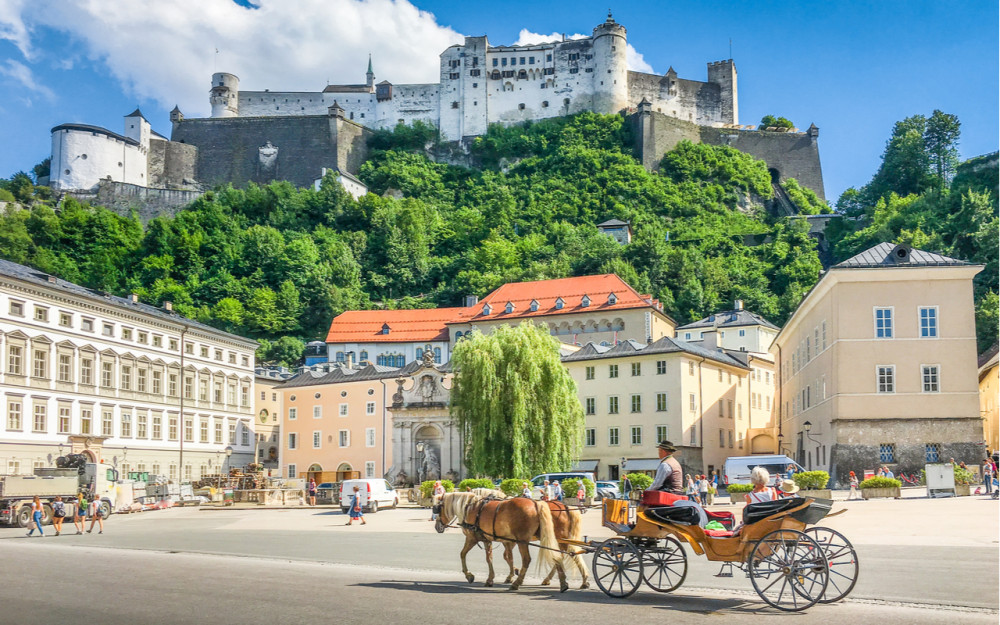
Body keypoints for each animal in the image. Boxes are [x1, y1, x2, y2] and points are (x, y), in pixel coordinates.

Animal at [434, 492, 568, 588]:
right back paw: (562, 583)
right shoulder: (488, 539)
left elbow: (462, 554)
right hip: (548, 537)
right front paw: (492, 578)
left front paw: (469, 575)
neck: (471, 508)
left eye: (437, 509)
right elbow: (492, 558)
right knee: (556, 556)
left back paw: (517, 583)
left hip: (523, 541)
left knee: (527, 559)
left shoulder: (472, 538)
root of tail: (536, 504)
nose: (437, 527)